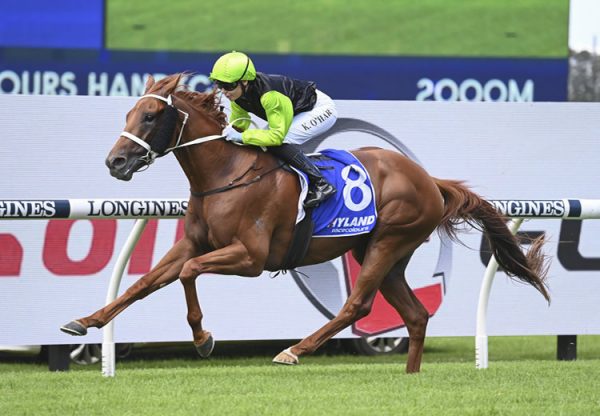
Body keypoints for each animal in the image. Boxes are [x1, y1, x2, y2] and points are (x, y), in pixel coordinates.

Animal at [61, 75, 548, 374]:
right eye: (128, 115)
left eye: (149, 116)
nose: (115, 162)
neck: (224, 173)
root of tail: (429, 180)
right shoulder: (195, 242)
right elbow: (144, 283)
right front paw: (84, 321)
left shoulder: (250, 257)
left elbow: (187, 274)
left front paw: (203, 338)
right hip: (382, 252)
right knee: (415, 314)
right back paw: (410, 374)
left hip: (389, 241)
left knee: (358, 305)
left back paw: (295, 349)